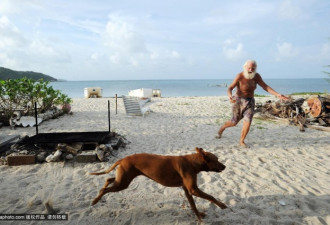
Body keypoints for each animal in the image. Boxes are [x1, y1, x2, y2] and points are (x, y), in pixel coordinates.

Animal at [90, 147, 227, 221]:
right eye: (216, 160)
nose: (225, 166)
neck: (193, 162)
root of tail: (123, 159)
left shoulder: (187, 190)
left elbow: (193, 205)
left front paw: (199, 215)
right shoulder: (193, 189)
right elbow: (211, 196)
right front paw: (221, 205)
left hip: (123, 179)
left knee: (108, 179)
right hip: (123, 183)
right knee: (104, 190)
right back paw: (95, 200)